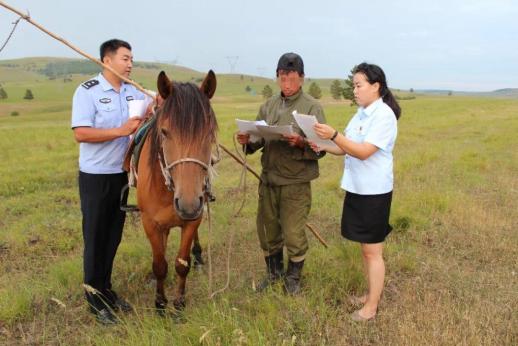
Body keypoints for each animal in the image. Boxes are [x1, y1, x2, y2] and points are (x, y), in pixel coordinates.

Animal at [136, 70, 217, 314]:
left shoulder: (193, 219)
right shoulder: (149, 222)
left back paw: (198, 254)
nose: (188, 204)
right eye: (164, 132)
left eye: (209, 133)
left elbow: (182, 263)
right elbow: (159, 265)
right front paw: (160, 304)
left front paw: (179, 304)